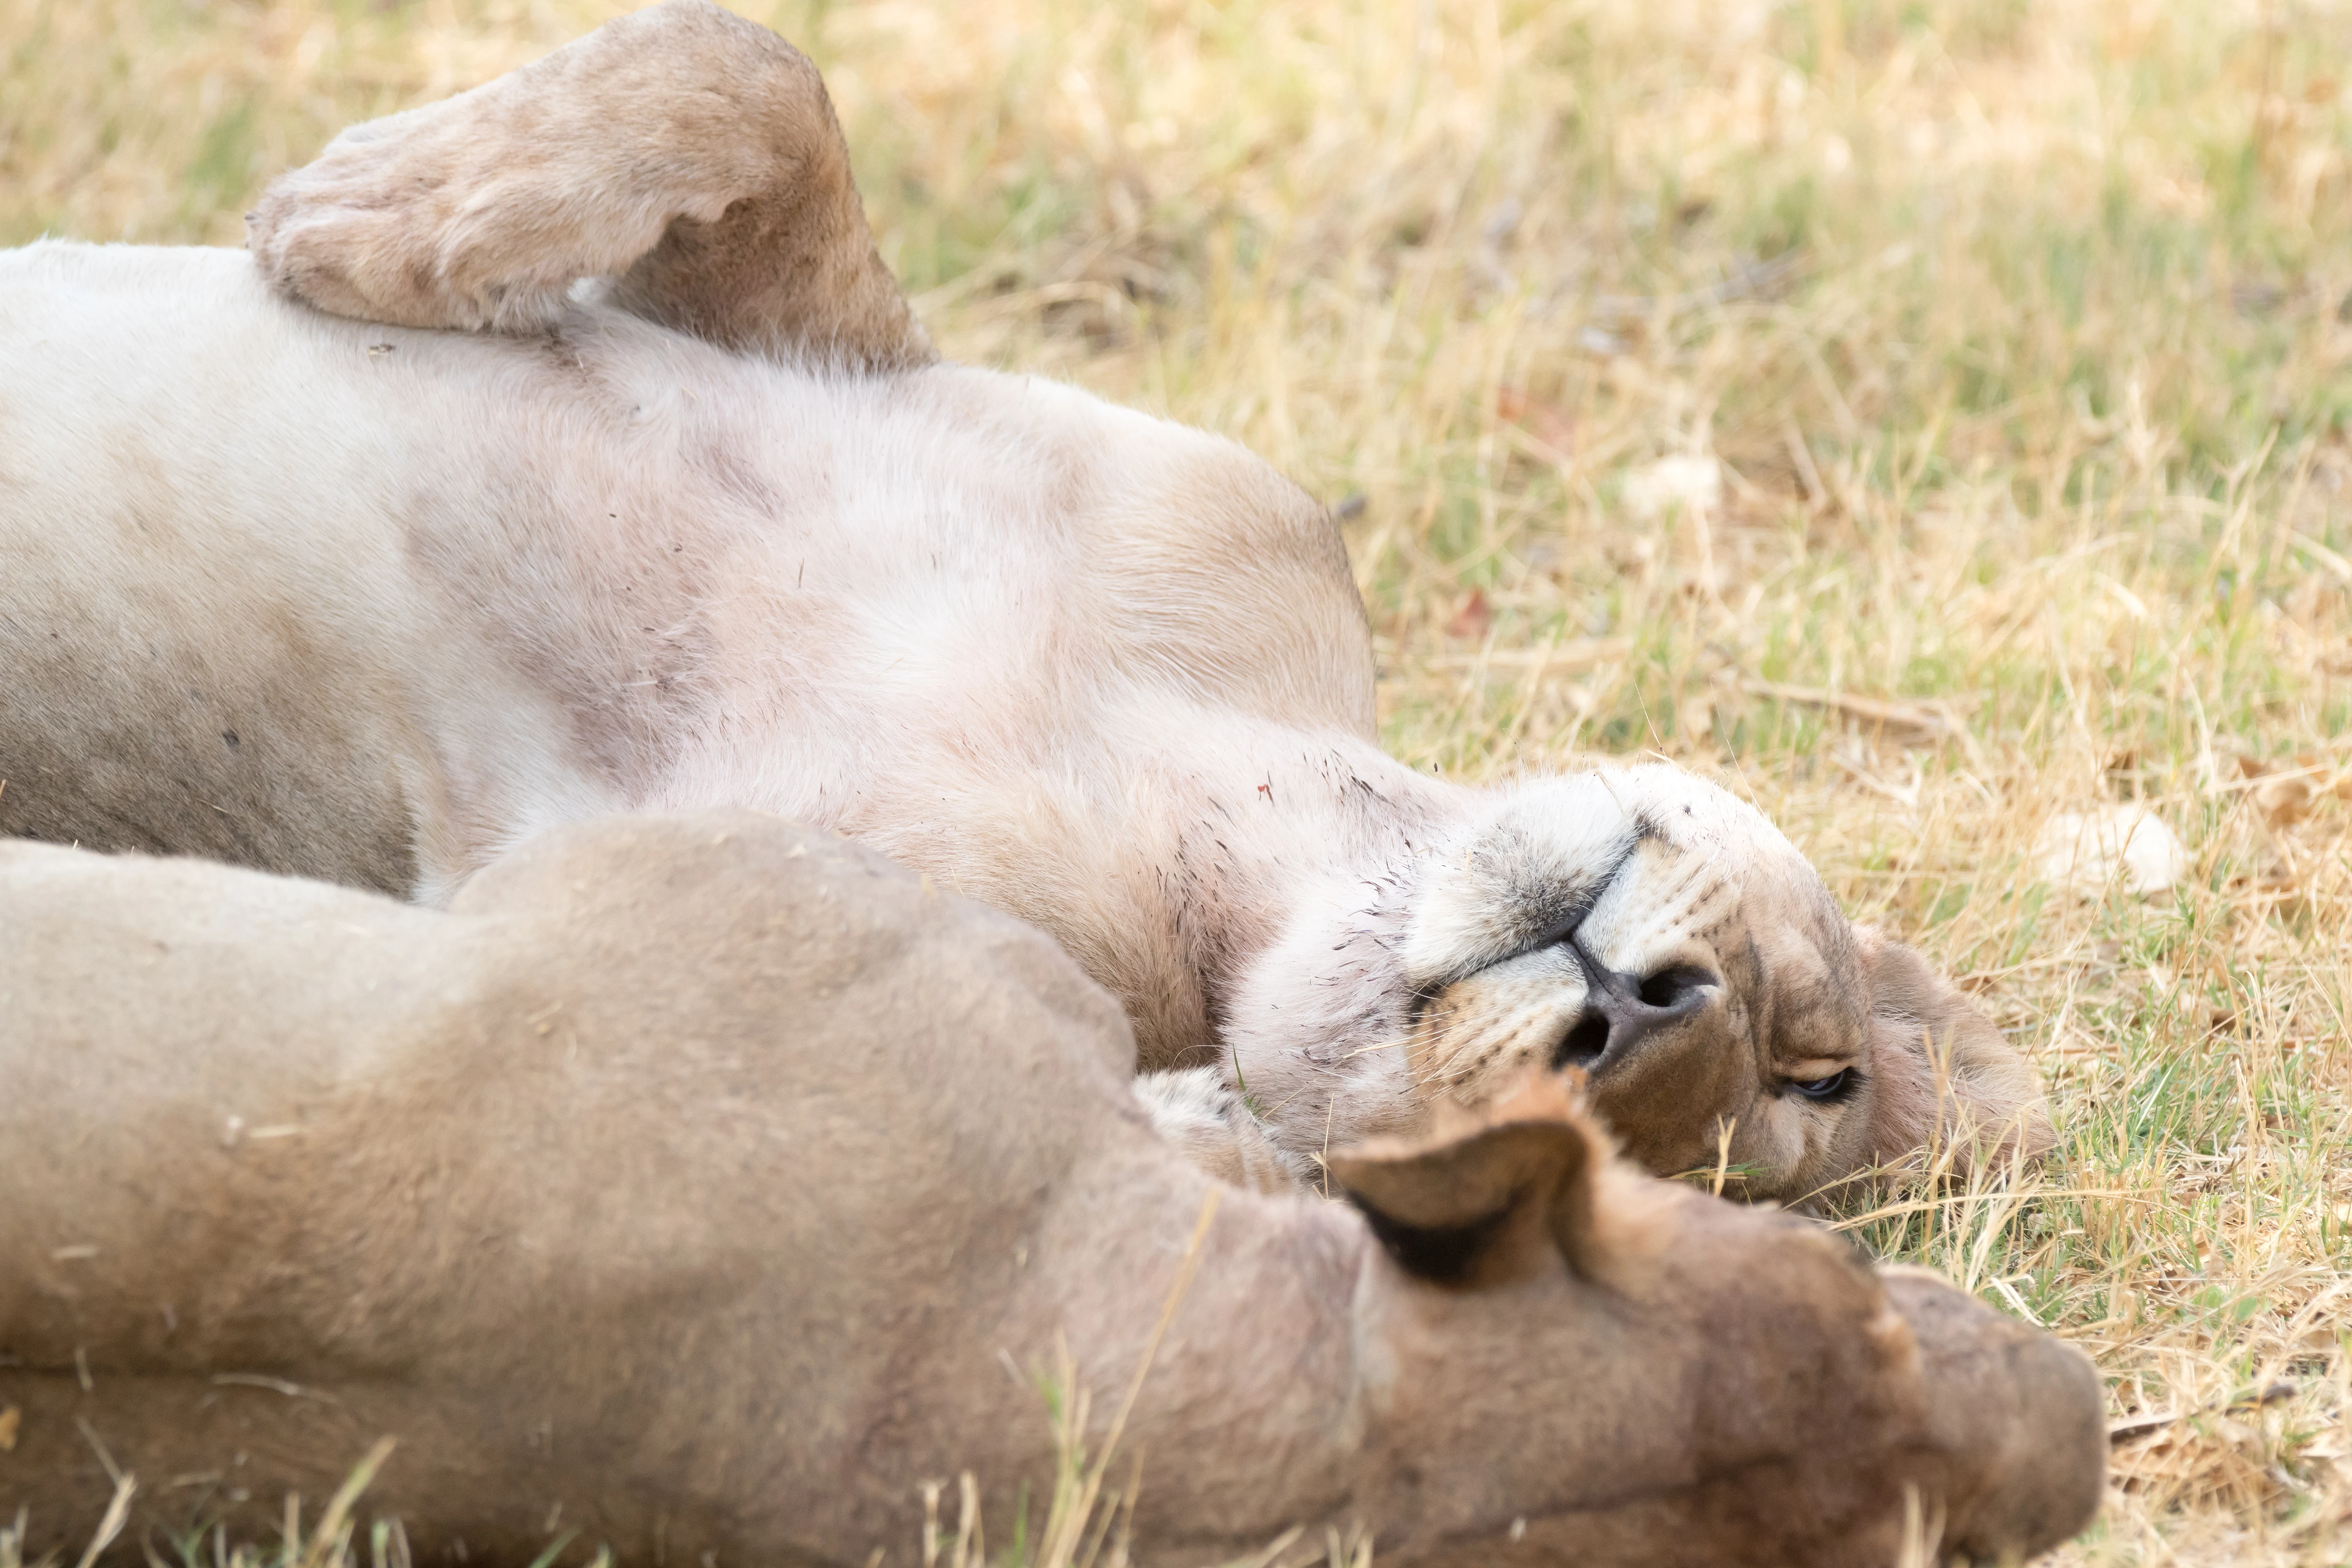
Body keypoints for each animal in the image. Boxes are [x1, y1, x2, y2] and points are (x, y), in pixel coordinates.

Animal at [0, 0, 2044, 1202]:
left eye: (1750, 1127)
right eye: (1812, 1052)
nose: (1654, 1016)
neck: (1215, 814)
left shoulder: (532, 918)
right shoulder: (854, 353)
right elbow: (755, 74)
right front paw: (374, 211)